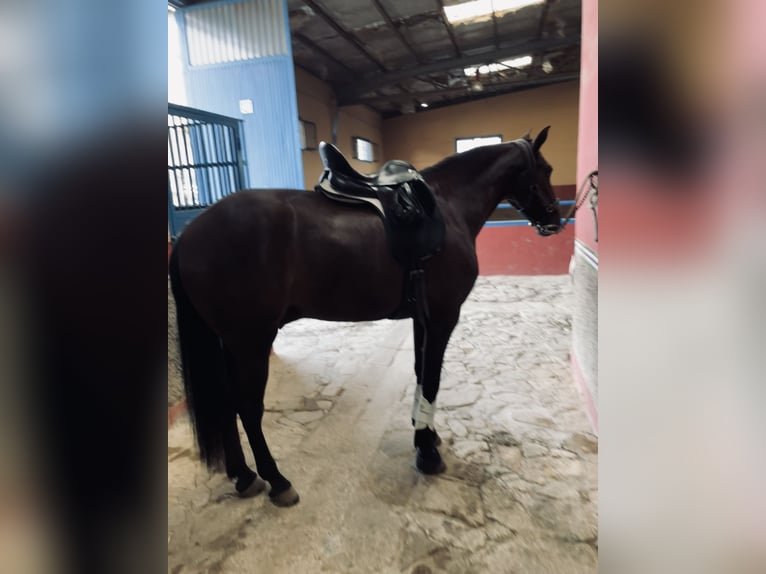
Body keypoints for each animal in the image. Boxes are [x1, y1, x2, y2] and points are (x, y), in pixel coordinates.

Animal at [169, 127, 562, 507]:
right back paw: (277, 481)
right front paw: (427, 454)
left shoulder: (422, 317)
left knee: (225, 403)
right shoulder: (444, 316)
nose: (555, 220)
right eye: (546, 170)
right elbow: (432, 380)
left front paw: (426, 435)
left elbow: (421, 373)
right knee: (248, 408)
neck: (449, 206)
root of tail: (190, 232)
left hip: (228, 342)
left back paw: (243, 474)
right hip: (251, 341)